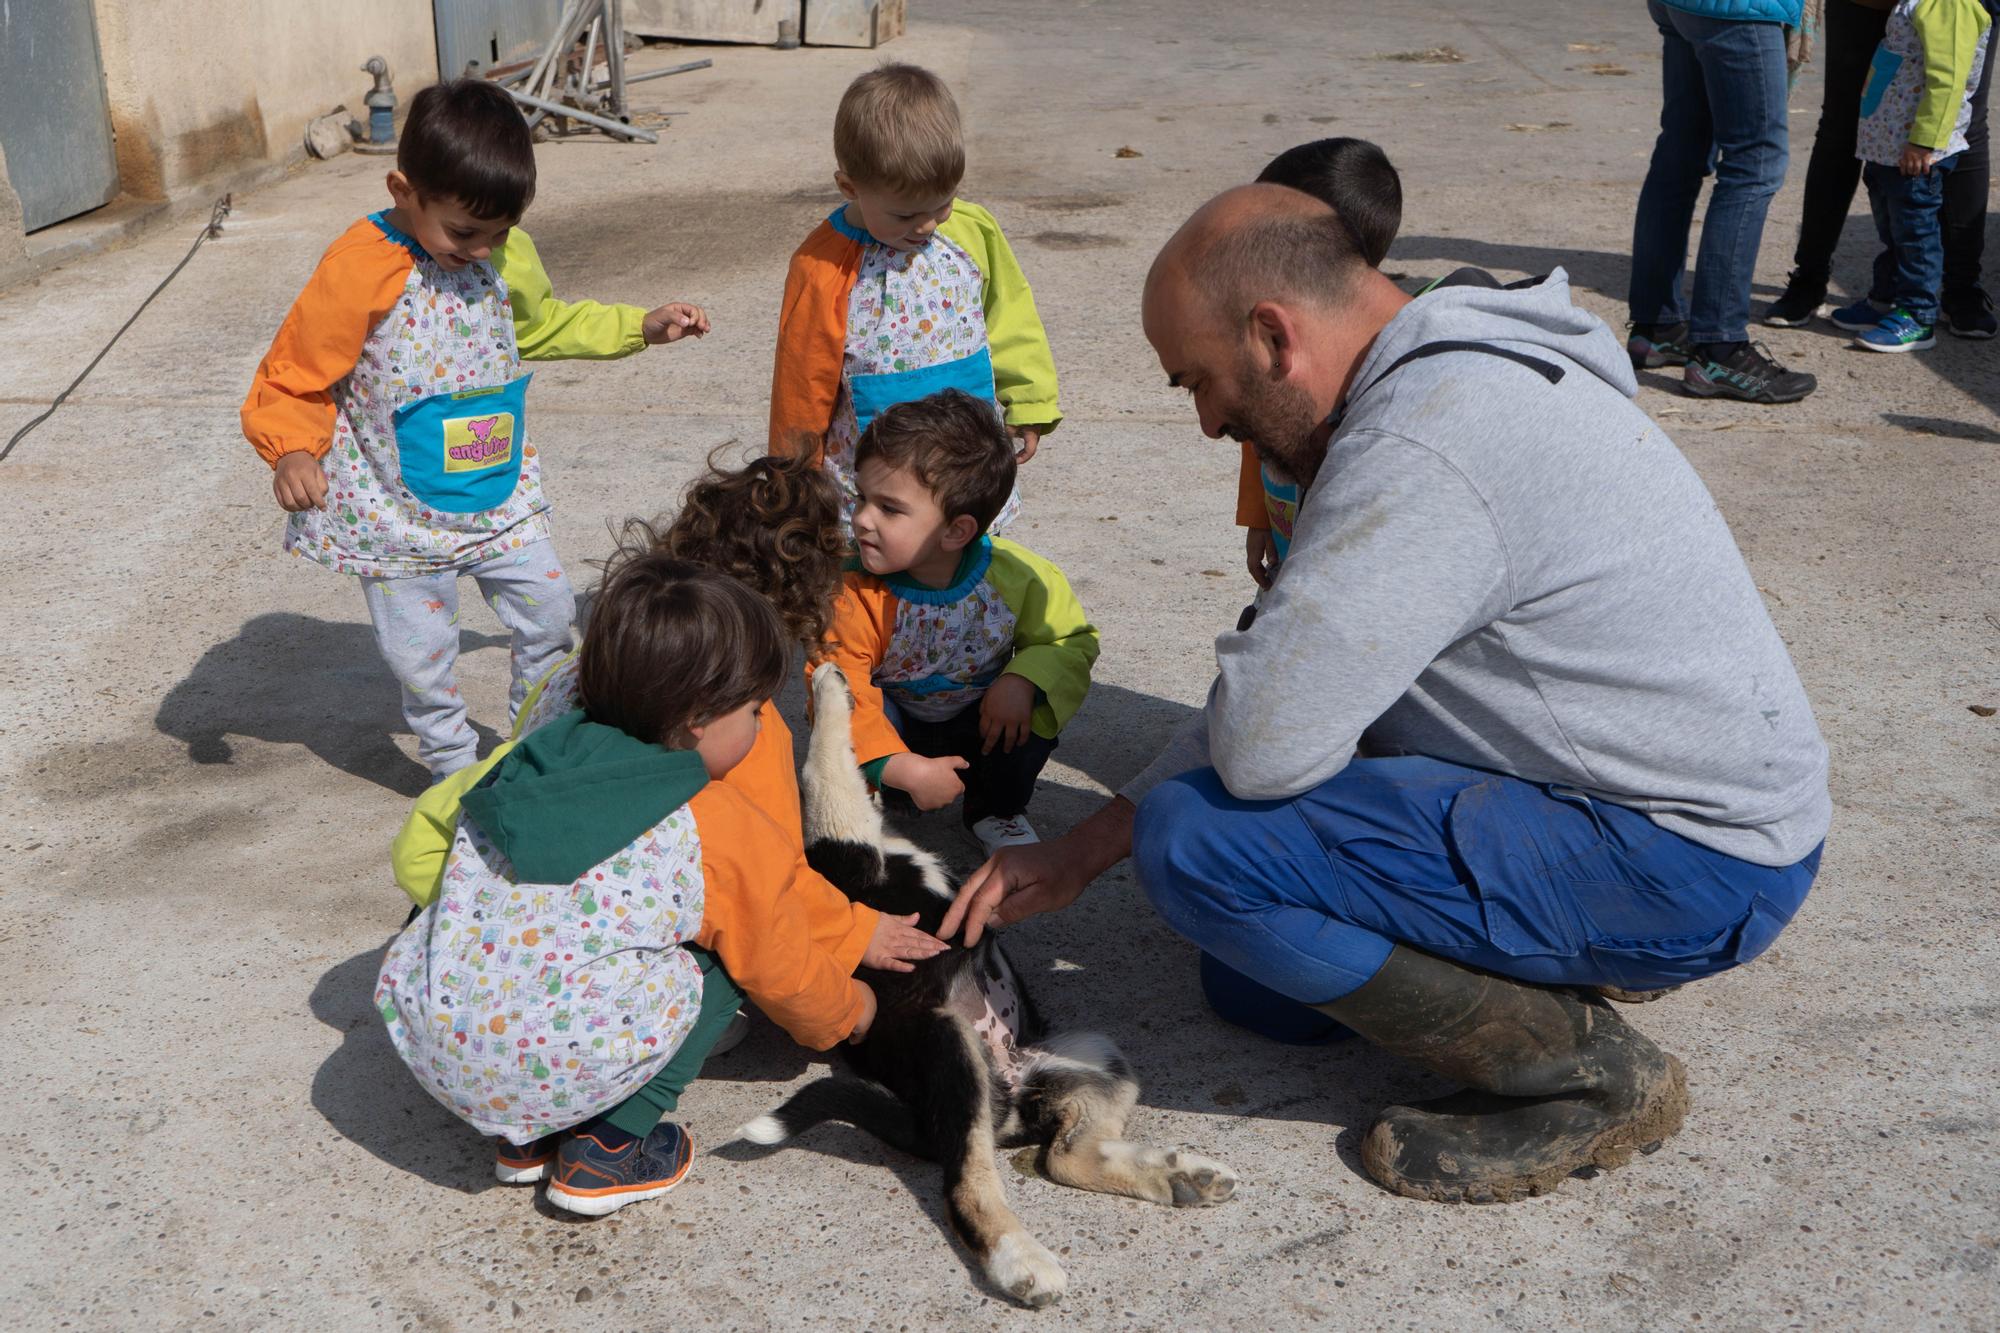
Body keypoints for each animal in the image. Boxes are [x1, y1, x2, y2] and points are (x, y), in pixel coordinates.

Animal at [736, 660, 1232, 1304]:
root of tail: (1010, 1094)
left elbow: (839, 772)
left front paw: (830, 684)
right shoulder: (850, 847)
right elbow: (822, 768)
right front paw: (827, 684)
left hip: (1094, 1055)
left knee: (1061, 1158)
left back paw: (1184, 1179)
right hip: (952, 1050)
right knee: (968, 1185)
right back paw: (1022, 1262)